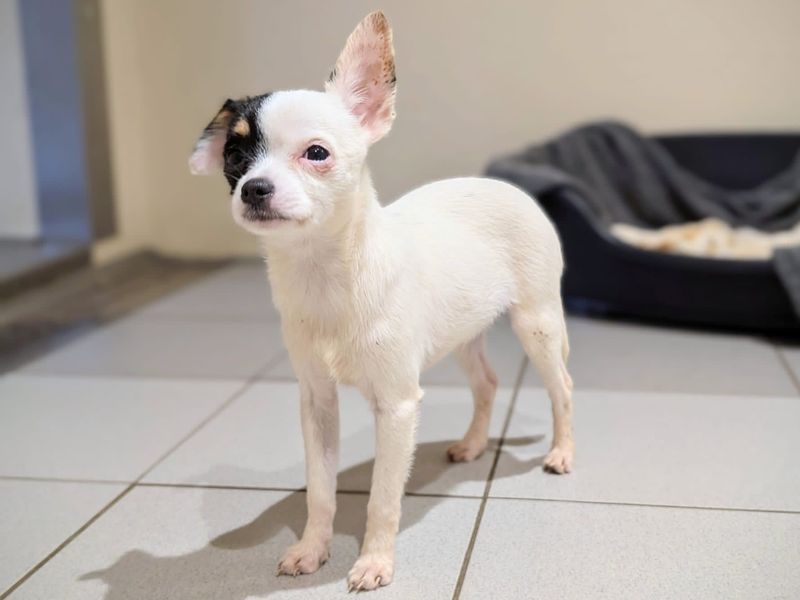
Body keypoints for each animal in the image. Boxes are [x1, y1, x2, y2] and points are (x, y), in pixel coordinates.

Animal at [190, 11, 572, 592]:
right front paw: (312, 548)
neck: (325, 274)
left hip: (538, 325)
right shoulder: (317, 403)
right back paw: (473, 444)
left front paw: (374, 562)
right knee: (487, 382)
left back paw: (562, 451)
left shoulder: (396, 406)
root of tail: (506, 186)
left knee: (562, 387)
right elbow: (321, 490)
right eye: (235, 156)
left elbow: (383, 498)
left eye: (316, 154)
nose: (254, 188)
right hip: (462, 332)